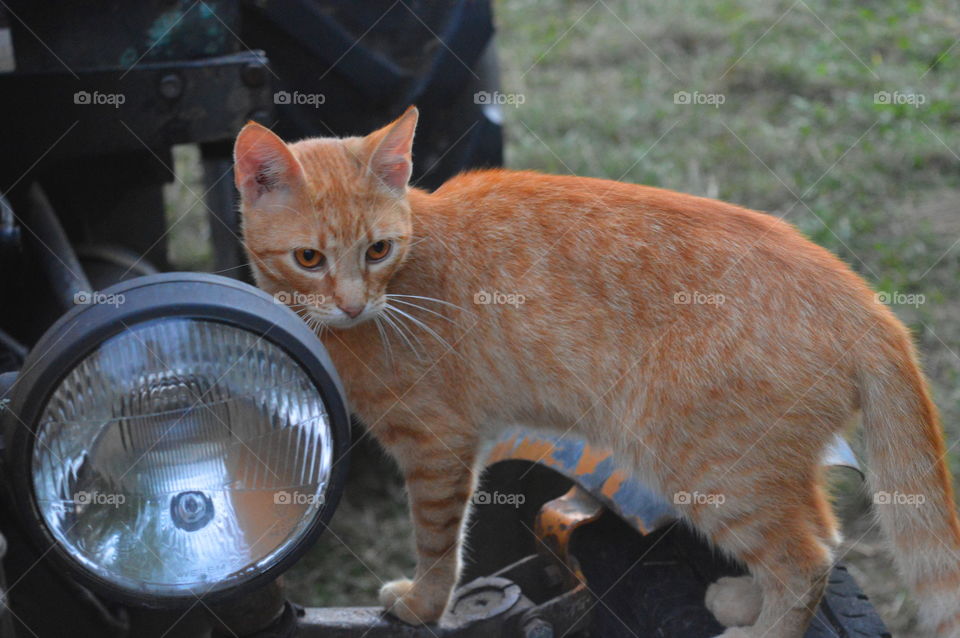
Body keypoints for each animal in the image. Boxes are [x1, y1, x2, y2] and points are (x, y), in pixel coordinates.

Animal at [234, 107, 960, 636]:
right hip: (767, 470)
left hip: (712, 472)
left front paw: (422, 604)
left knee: (804, 562)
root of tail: (864, 300)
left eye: (378, 250)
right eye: (309, 258)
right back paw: (743, 601)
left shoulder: (436, 447)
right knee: (826, 538)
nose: (353, 303)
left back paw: (760, 629)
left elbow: (439, 543)